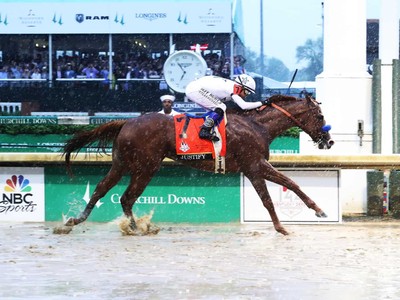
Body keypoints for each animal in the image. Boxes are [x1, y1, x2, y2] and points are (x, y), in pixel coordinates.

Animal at [64, 95, 332, 236]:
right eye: (320, 116)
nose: (329, 140)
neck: (257, 126)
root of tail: (126, 122)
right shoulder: (254, 165)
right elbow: (273, 194)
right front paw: (283, 226)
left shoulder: (254, 166)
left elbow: (290, 184)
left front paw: (317, 210)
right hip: (146, 167)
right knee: (126, 197)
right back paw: (134, 227)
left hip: (121, 164)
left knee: (103, 188)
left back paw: (78, 220)